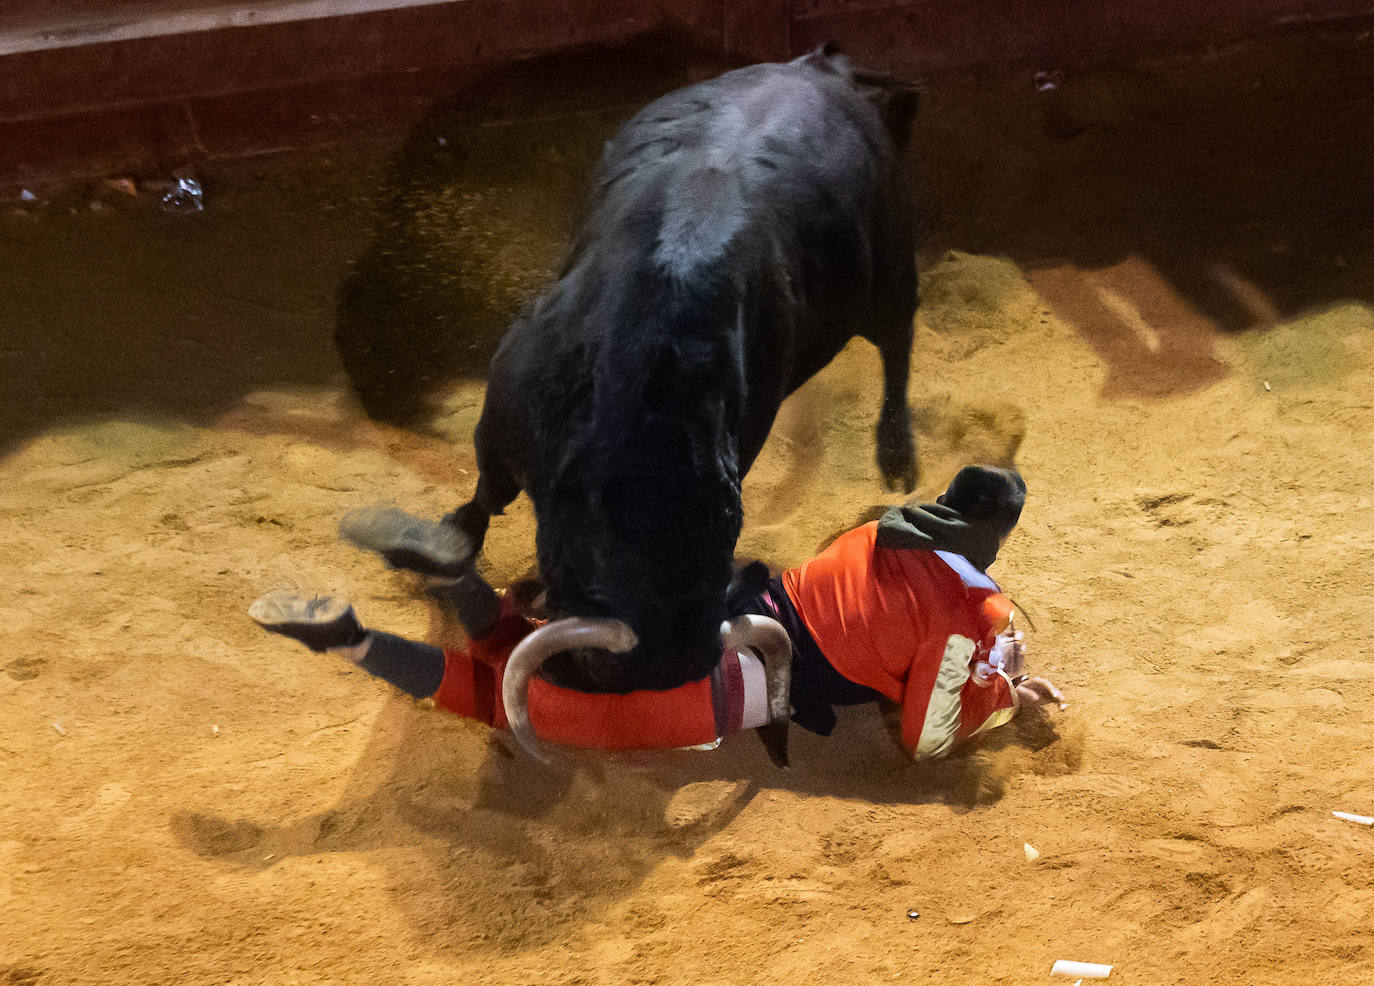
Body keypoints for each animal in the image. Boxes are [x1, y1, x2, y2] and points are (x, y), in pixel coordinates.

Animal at [439, 48, 917, 694]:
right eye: (586, 553)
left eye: (726, 526)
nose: (663, 663)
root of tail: (824, 67)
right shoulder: (502, 420)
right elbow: (489, 492)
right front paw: (450, 542)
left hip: (891, 266)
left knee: (898, 345)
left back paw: (897, 454)